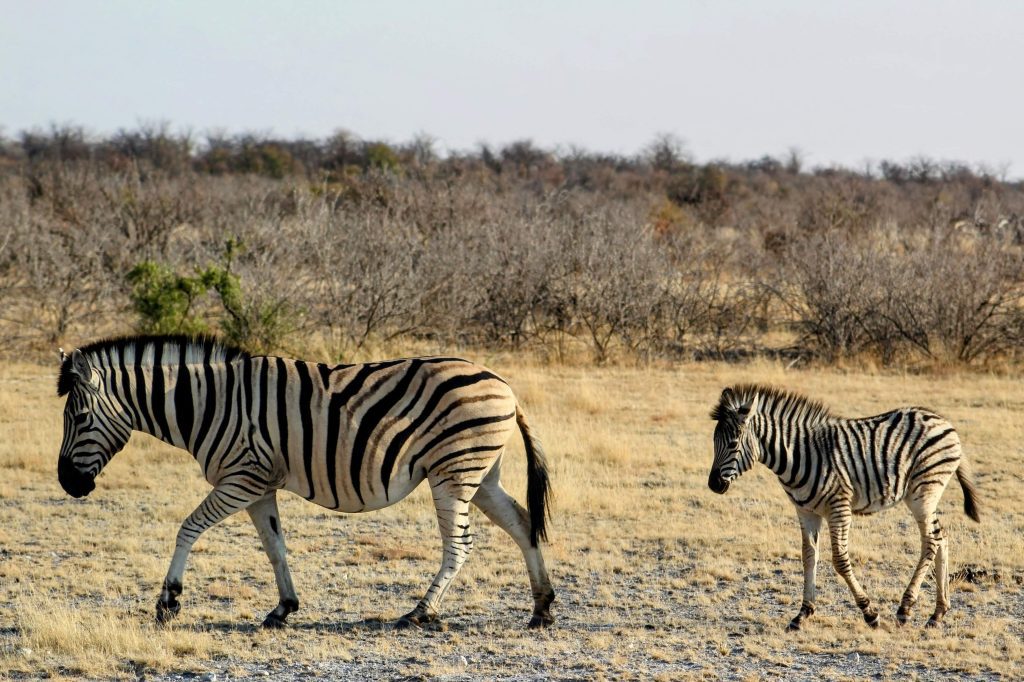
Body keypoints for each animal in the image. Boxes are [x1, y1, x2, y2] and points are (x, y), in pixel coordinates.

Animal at [56, 333, 557, 626]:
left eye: (79, 418)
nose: (67, 484)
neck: (206, 404)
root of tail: (505, 385)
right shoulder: (260, 486)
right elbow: (275, 548)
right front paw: (283, 608)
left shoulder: (242, 477)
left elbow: (188, 527)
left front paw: (168, 601)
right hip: (481, 474)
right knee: (522, 523)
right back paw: (542, 607)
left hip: (453, 471)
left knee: (460, 544)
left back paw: (419, 612)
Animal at [708, 385, 978, 630]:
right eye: (713, 442)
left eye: (733, 444)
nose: (713, 485)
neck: (798, 455)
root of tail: (945, 422)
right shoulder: (806, 511)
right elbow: (808, 556)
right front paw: (802, 614)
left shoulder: (839, 508)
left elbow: (840, 561)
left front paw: (870, 613)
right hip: (928, 495)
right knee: (942, 537)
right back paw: (938, 613)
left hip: (922, 492)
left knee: (930, 541)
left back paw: (905, 608)